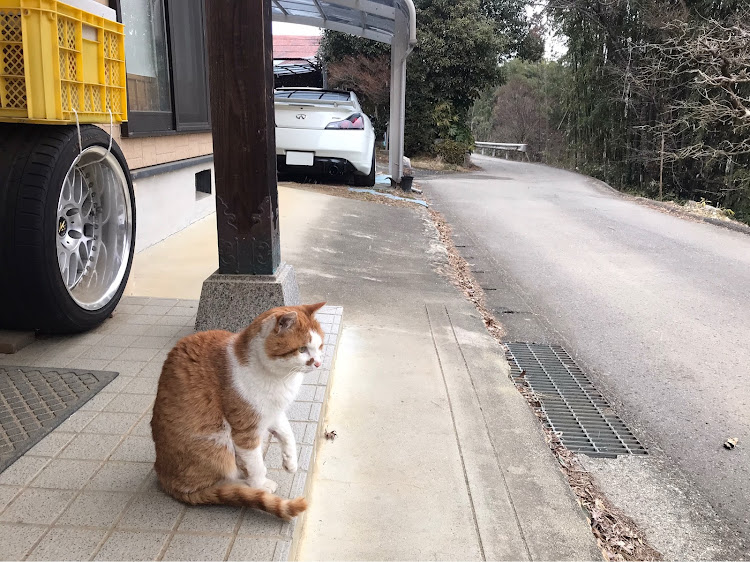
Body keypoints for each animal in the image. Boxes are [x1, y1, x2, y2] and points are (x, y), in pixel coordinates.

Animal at [152, 304, 326, 520]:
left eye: (320, 346)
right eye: (302, 349)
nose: (318, 363)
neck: (280, 378)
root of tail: (164, 479)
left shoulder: (272, 412)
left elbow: (287, 433)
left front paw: (290, 462)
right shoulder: (246, 430)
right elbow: (256, 465)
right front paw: (260, 485)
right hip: (218, 444)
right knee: (218, 485)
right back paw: (247, 487)